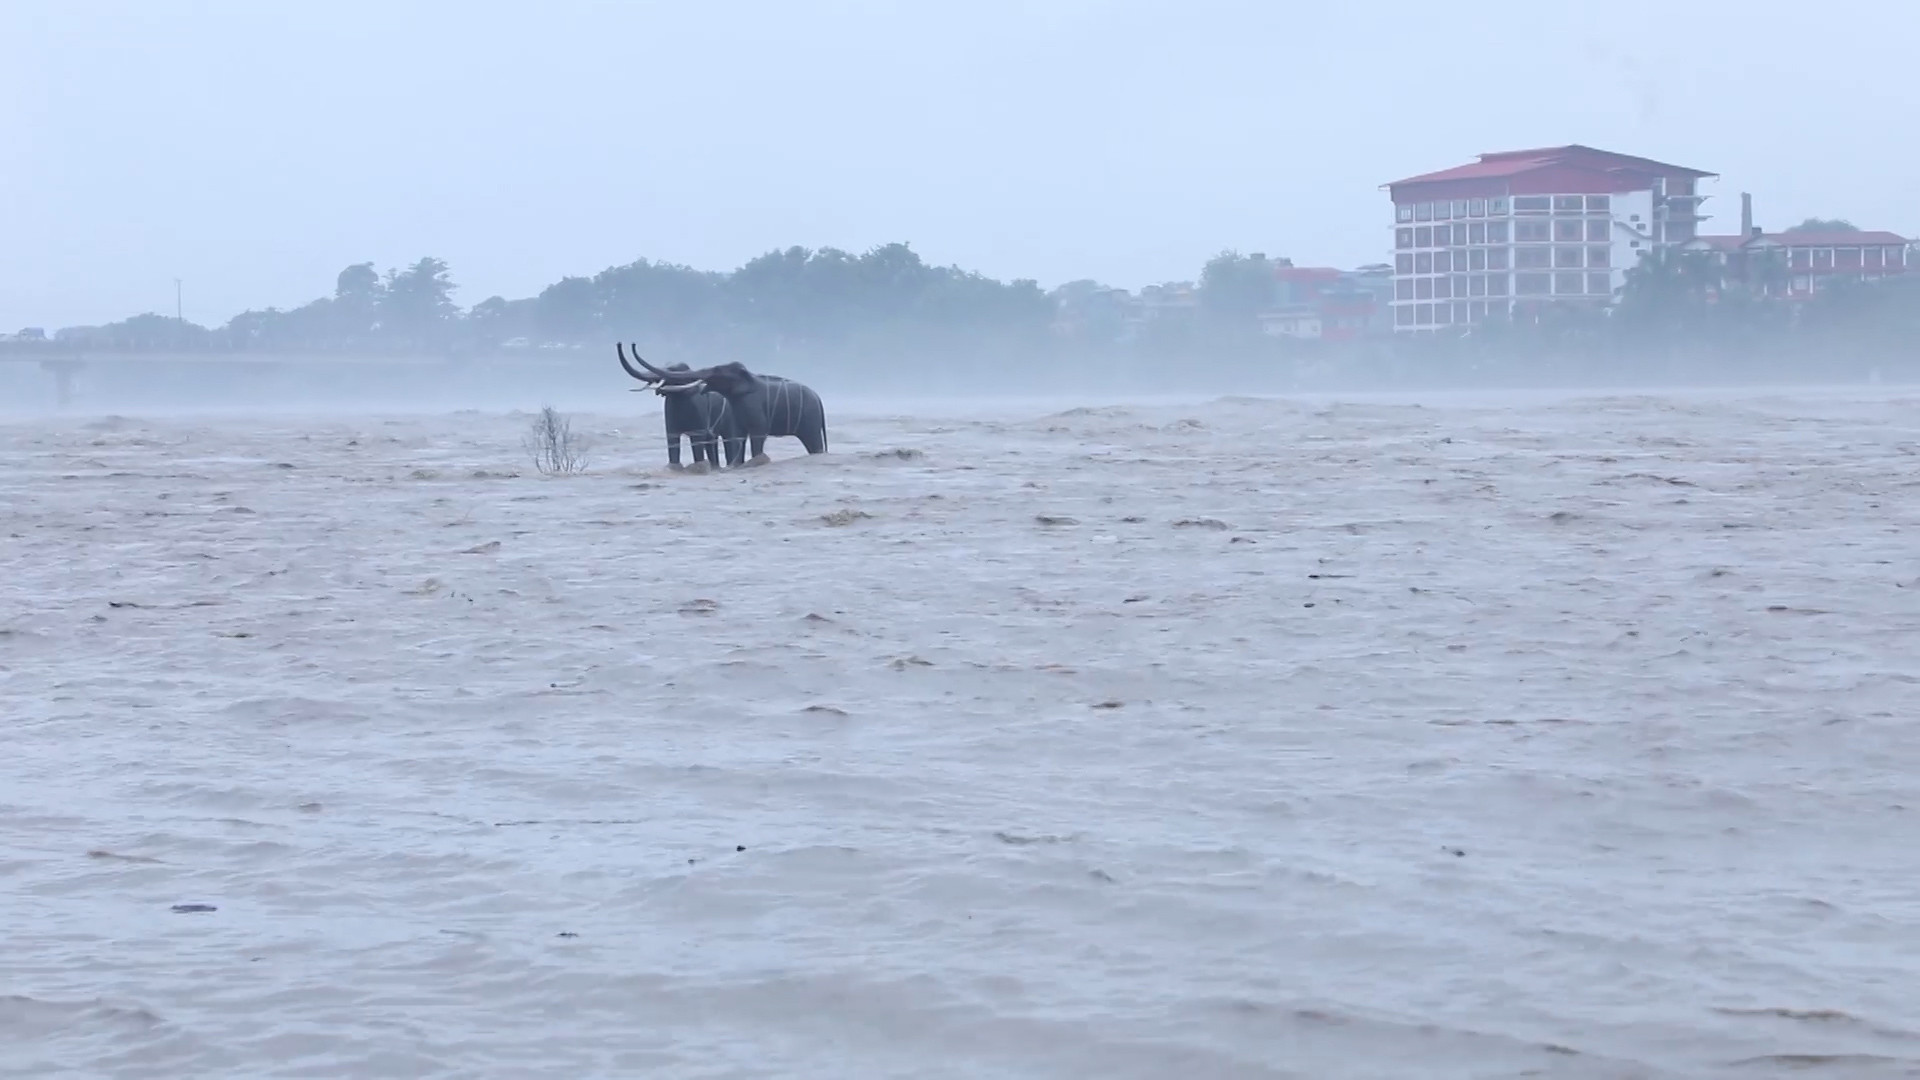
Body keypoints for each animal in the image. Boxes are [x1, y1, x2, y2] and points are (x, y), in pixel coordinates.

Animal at [614, 343, 825, 463]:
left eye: (717, 370)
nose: (624, 342)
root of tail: (819, 398)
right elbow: (673, 440)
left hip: (810, 419)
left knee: (813, 442)